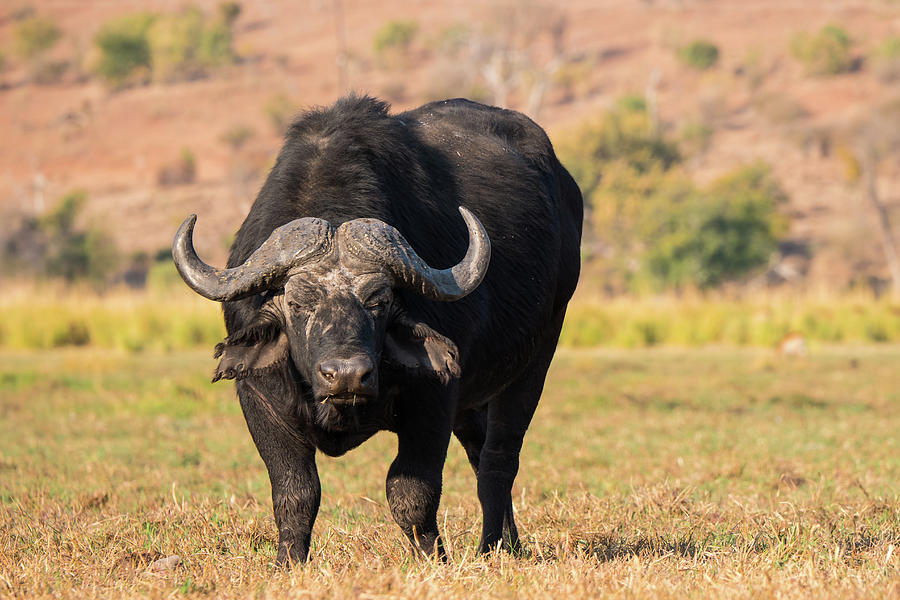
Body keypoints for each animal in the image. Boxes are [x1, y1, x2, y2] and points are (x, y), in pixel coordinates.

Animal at [173, 95, 584, 564]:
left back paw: (493, 546)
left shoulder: (435, 397)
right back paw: (508, 544)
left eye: (379, 300)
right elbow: (295, 492)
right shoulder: (260, 399)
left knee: (499, 460)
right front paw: (289, 563)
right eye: (297, 302)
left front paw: (432, 560)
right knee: (479, 450)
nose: (347, 375)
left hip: (537, 357)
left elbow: (411, 492)